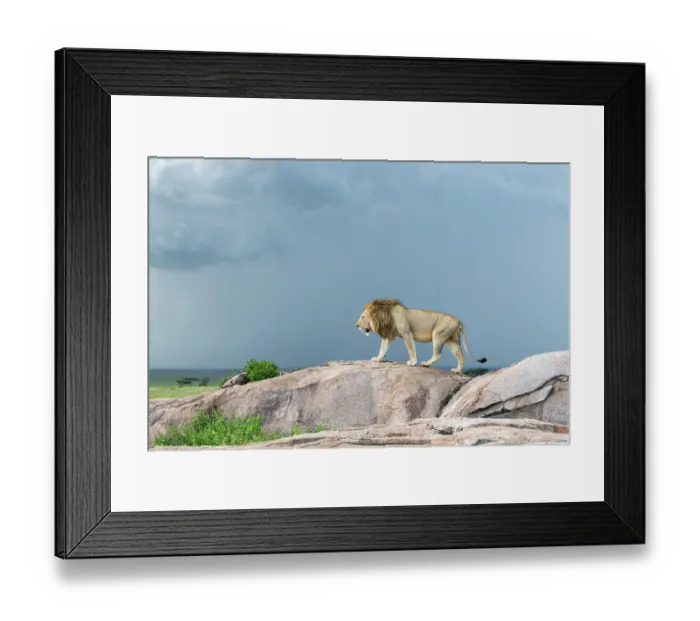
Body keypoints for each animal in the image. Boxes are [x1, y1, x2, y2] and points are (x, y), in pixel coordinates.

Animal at [356, 298, 487, 373]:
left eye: (362, 317)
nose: (356, 325)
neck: (384, 316)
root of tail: (458, 319)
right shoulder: (388, 335)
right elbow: (382, 348)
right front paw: (378, 359)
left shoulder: (407, 334)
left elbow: (411, 350)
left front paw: (412, 362)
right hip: (451, 340)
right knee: (461, 357)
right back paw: (457, 371)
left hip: (438, 334)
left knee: (438, 354)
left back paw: (426, 364)